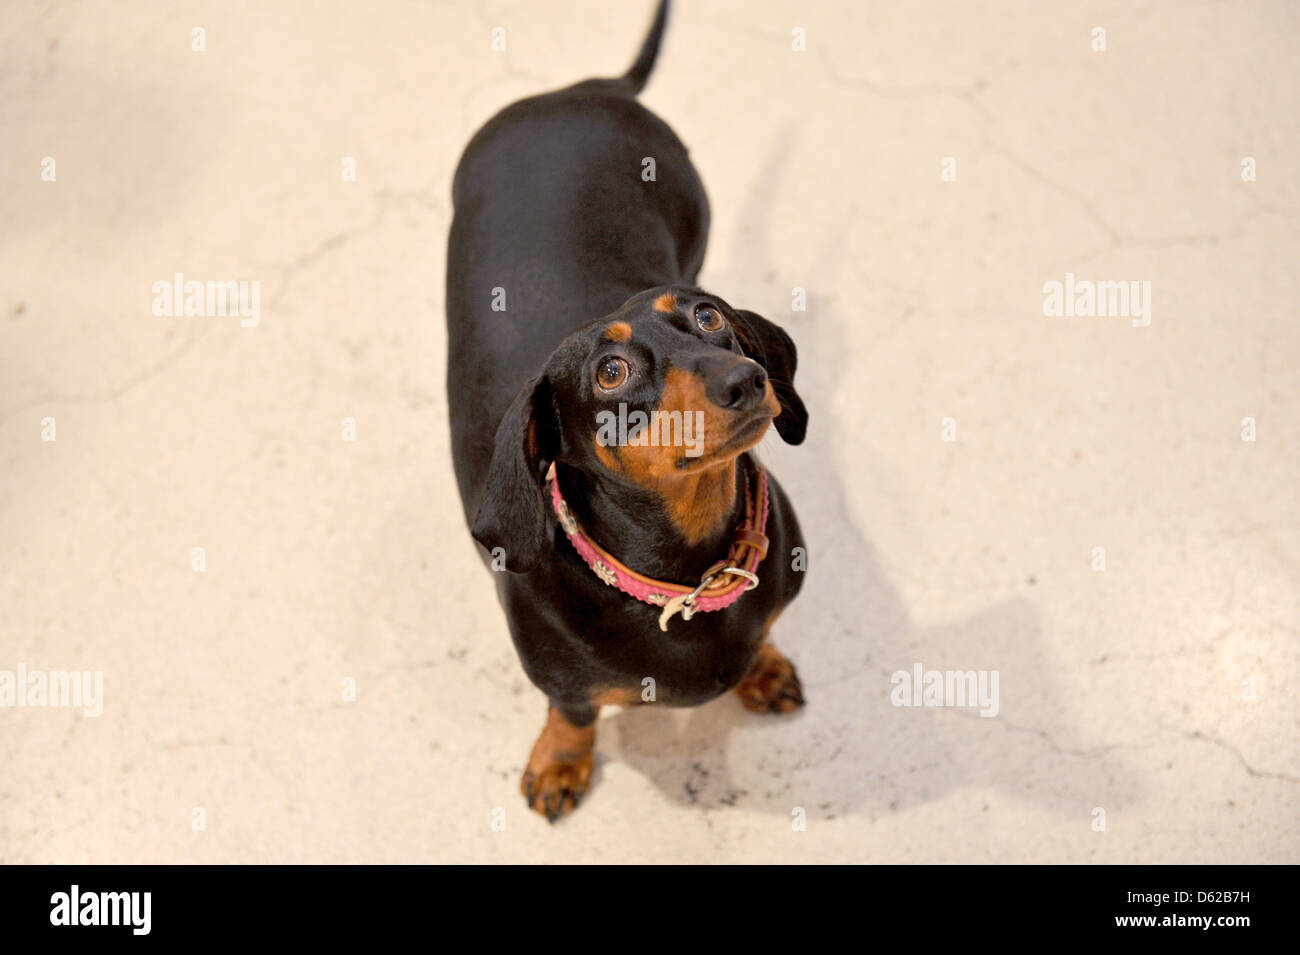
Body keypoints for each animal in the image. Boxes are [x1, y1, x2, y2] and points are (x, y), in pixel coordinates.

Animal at [447, 1, 800, 821]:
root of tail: (587, 88)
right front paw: (561, 760)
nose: (747, 379)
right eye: (610, 372)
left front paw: (763, 665)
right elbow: (573, 710)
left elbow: (765, 627)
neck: (681, 579)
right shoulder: (560, 682)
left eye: (707, 318)